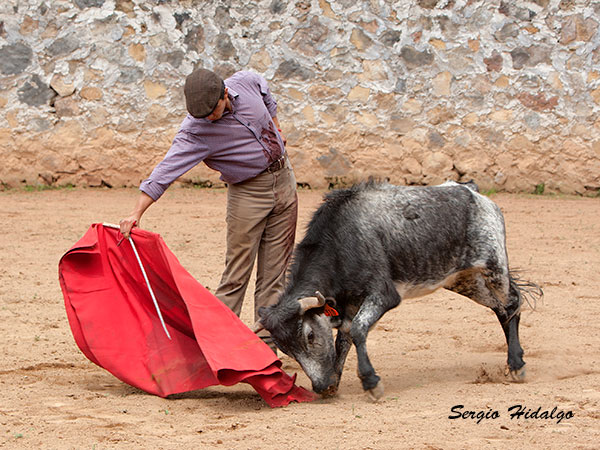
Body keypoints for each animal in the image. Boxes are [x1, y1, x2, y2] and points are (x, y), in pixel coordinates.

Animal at [255, 181, 540, 400]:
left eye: (310, 336)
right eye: (286, 349)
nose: (320, 386)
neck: (341, 240)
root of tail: (473, 191)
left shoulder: (383, 295)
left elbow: (358, 330)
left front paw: (371, 382)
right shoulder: (349, 304)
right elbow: (344, 338)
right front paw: (335, 380)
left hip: (494, 266)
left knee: (512, 303)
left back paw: (517, 364)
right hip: (464, 280)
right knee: (500, 309)